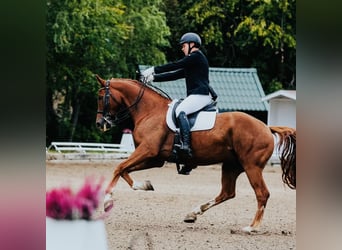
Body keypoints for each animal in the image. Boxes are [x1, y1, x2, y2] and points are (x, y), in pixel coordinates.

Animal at [95, 74, 296, 232]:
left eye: (100, 96)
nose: (99, 123)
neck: (149, 111)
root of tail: (266, 127)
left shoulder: (147, 151)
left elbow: (119, 167)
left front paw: (106, 201)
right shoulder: (155, 158)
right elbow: (124, 170)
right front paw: (143, 185)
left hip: (251, 166)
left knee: (262, 193)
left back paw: (252, 227)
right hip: (232, 165)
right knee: (227, 192)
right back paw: (193, 213)